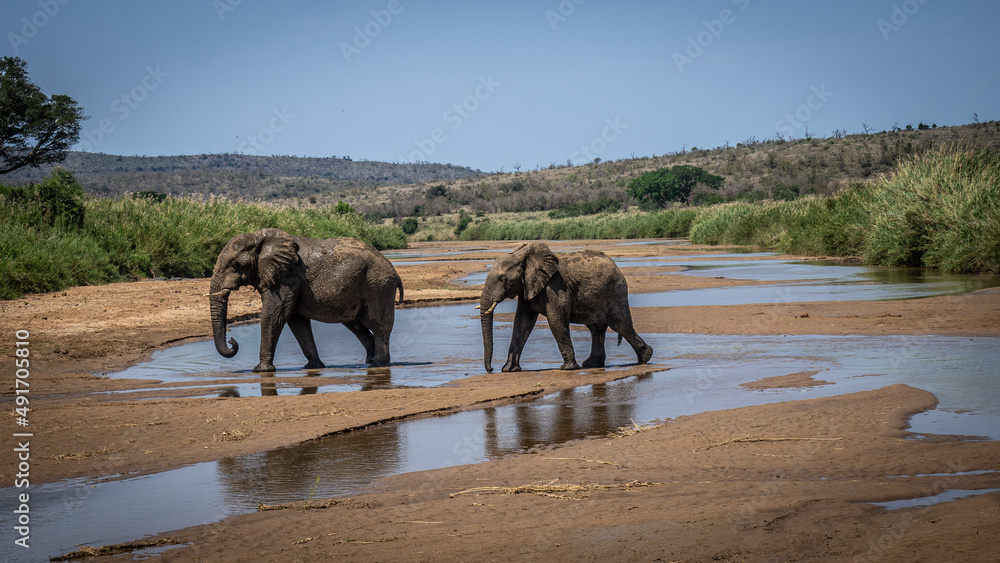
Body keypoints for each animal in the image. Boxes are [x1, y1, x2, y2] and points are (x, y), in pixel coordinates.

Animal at [207, 227, 402, 372]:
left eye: (234, 264)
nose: (232, 341)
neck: (259, 238)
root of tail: (393, 269)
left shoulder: (287, 277)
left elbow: (273, 315)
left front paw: (260, 370)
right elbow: (296, 322)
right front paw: (312, 367)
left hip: (378, 285)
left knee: (377, 324)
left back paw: (378, 364)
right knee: (356, 325)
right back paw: (370, 360)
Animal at [478, 242, 652, 374]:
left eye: (502, 279)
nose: (490, 369)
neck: (521, 256)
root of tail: (616, 266)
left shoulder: (555, 285)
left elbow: (556, 320)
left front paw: (567, 368)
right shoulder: (527, 287)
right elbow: (521, 323)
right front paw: (508, 370)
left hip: (615, 291)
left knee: (620, 325)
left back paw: (645, 358)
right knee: (596, 329)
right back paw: (592, 364)